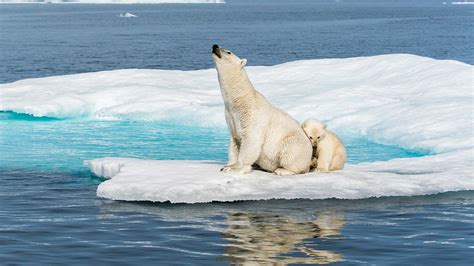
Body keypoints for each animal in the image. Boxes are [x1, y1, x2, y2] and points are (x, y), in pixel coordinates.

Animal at [213, 44, 312, 176]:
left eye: (228, 52)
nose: (215, 46)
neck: (241, 99)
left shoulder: (252, 116)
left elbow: (251, 141)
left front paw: (236, 168)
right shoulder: (231, 116)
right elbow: (234, 142)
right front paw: (227, 166)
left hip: (294, 144)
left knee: (291, 153)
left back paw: (282, 170)